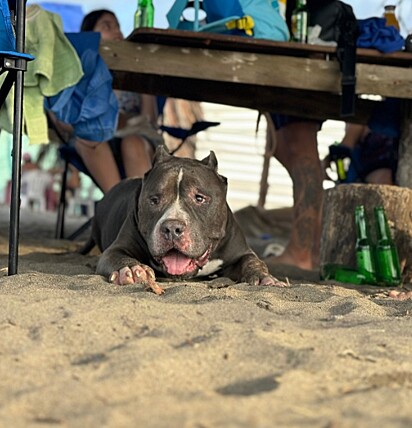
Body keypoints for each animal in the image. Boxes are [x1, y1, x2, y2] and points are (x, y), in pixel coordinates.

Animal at [81, 147, 284, 294]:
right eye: (154, 200)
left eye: (199, 198)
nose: (172, 228)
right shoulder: (115, 249)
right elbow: (118, 256)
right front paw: (131, 269)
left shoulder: (241, 252)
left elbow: (252, 261)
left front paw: (264, 277)